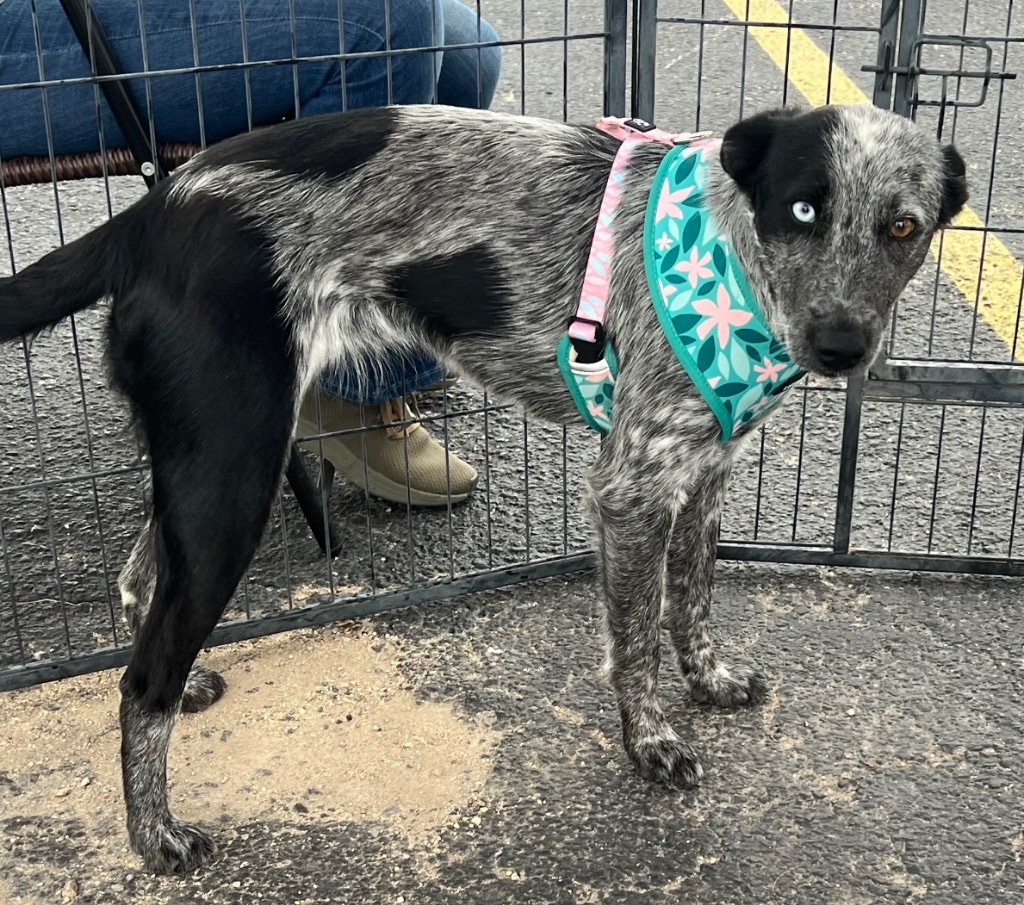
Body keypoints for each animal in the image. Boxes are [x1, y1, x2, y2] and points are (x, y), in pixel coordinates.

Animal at [0, 102, 966, 872]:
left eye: (903, 227)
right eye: (802, 207)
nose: (841, 345)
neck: (729, 253)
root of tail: (155, 212)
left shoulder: (703, 473)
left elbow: (692, 601)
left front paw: (711, 679)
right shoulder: (630, 490)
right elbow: (638, 641)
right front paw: (650, 741)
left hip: (212, 465)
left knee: (139, 580)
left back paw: (186, 693)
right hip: (233, 473)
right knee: (142, 678)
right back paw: (154, 833)